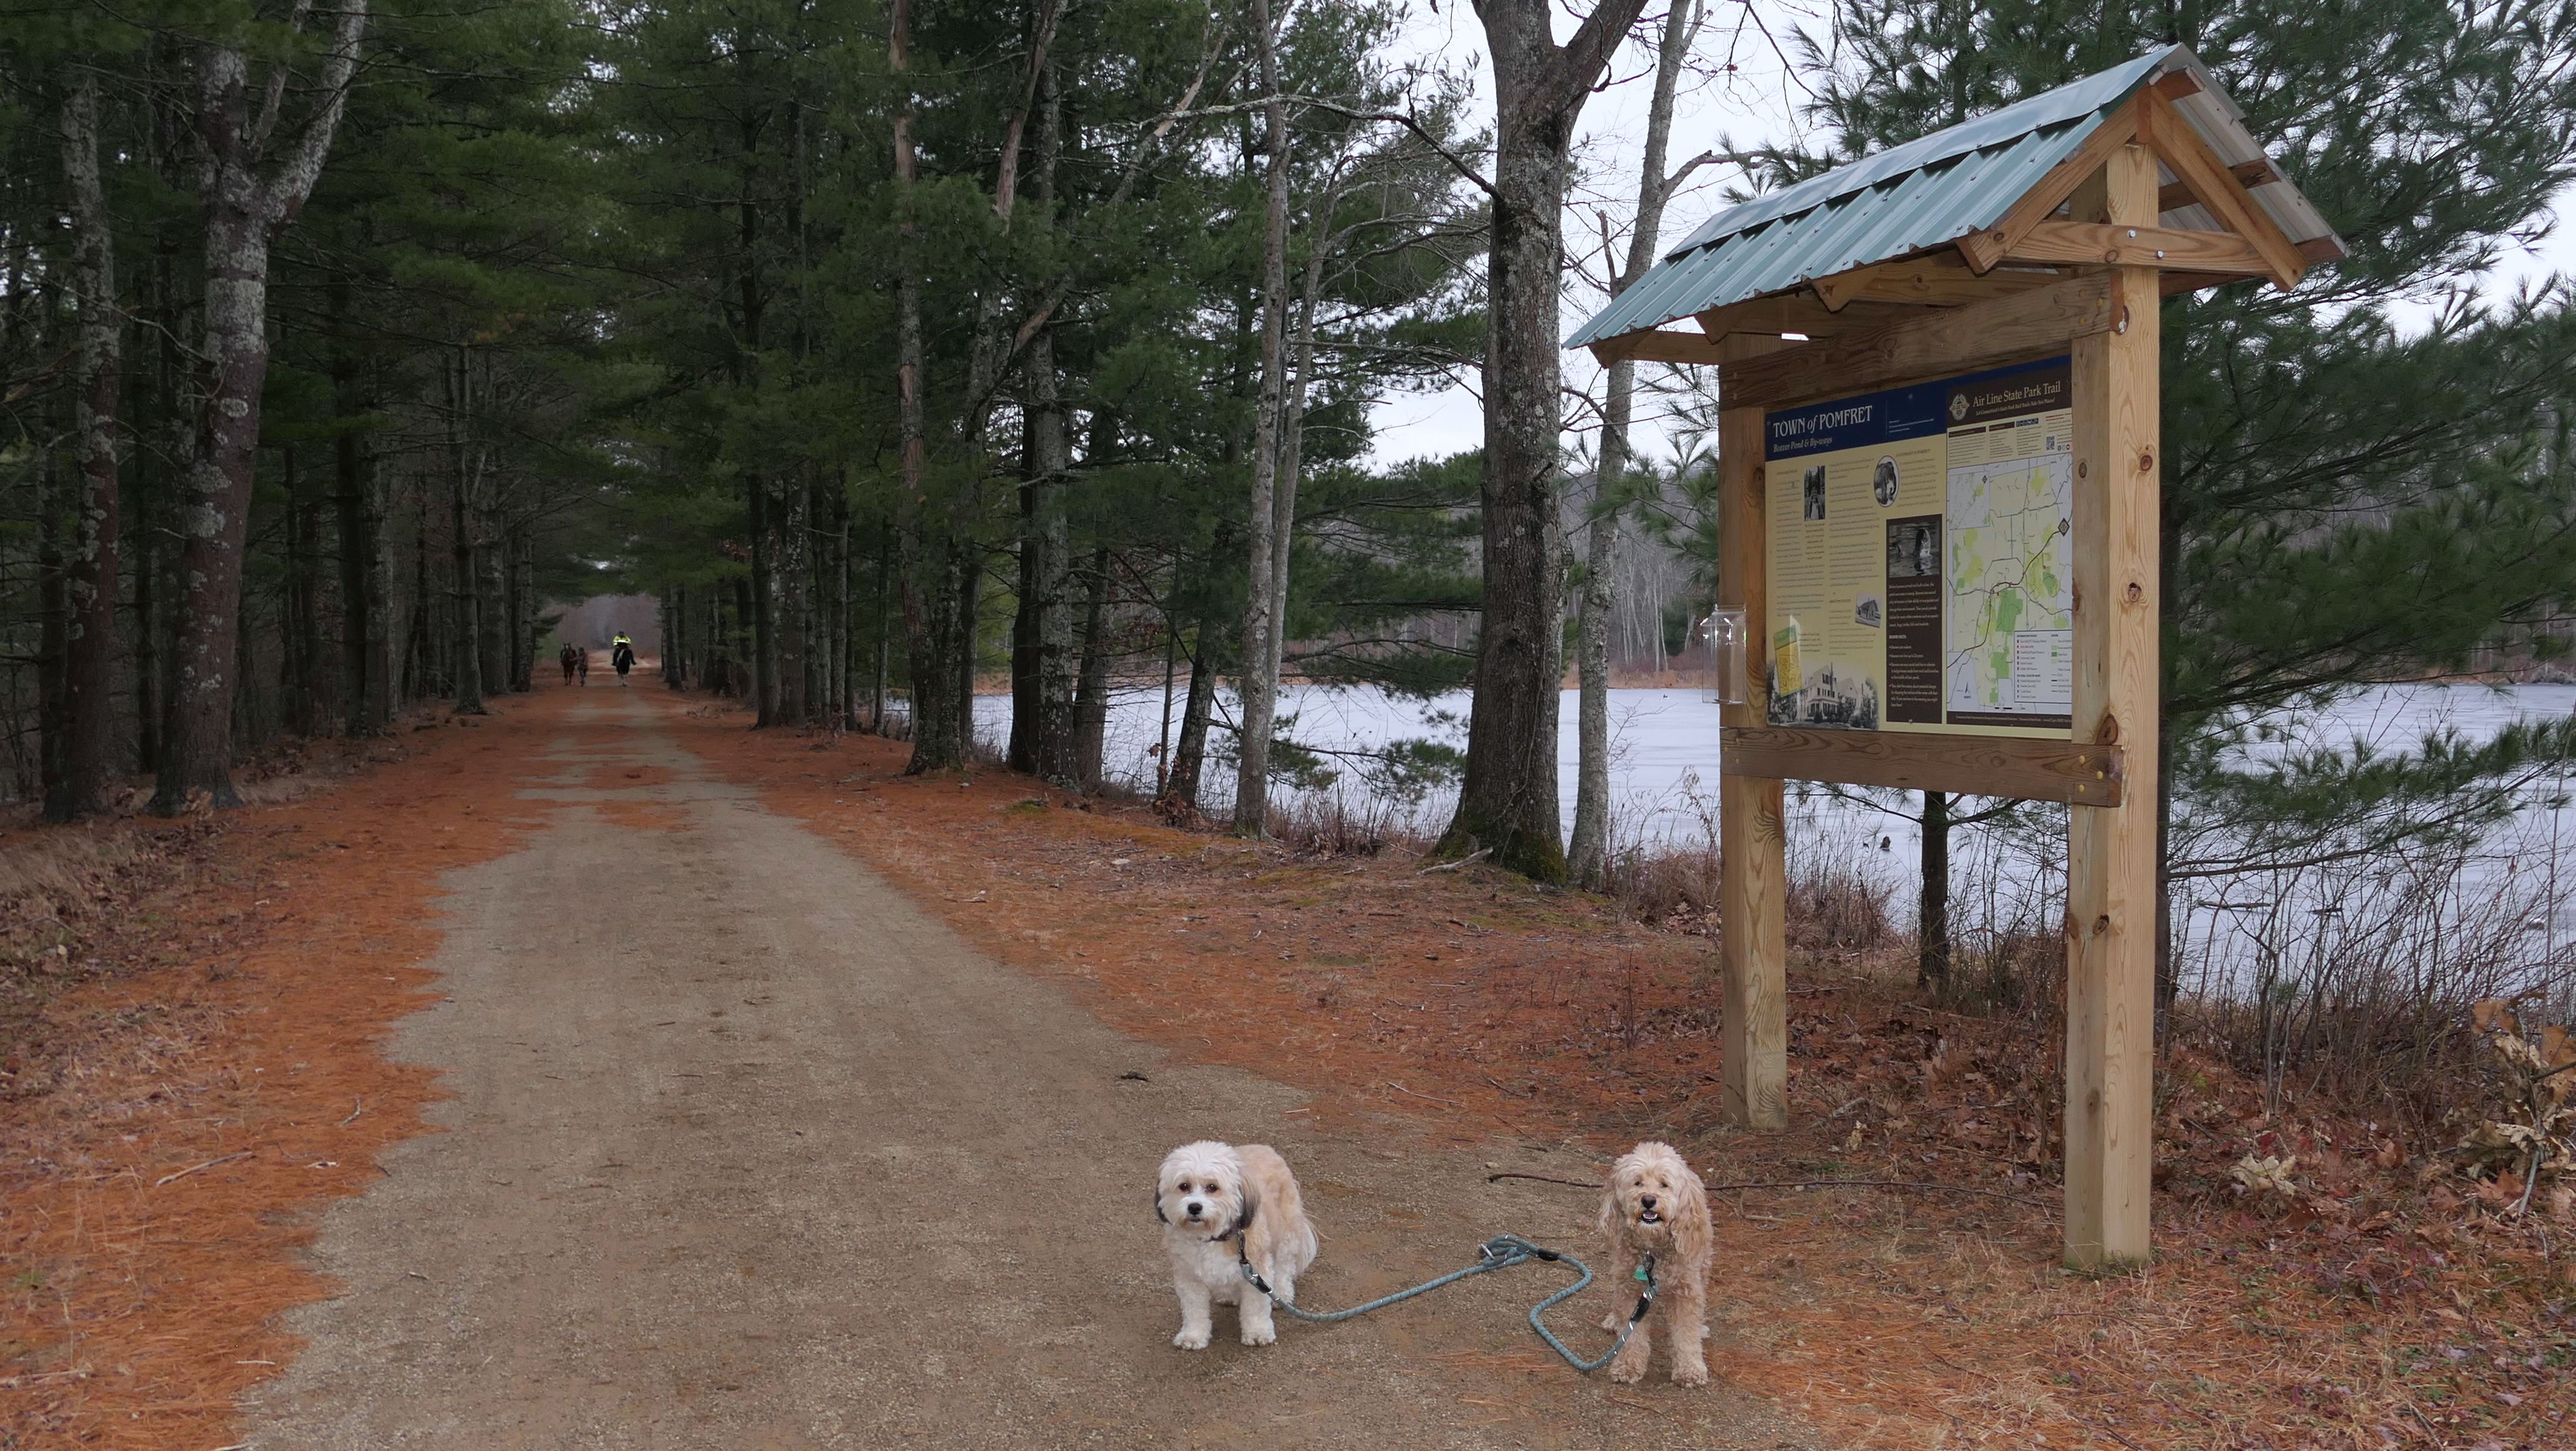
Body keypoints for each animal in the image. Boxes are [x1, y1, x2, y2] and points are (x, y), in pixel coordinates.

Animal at [1154, 1140, 1318, 1350]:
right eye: (1184, 1186)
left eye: (1212, 1187)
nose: (1194, 1207)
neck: (1212, 1238)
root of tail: (1265, 1148)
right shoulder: (1189, 1278)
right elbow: (1194, 1311)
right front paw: (1193, 1336)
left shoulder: (1257, 1273)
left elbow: (1256, 1307)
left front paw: (1257, 1333)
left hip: (1285, 1235)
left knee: (1284, 1266)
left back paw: (1282, 1293)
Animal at [1596, 1140, 1713, 1385]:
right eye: (1638, 1182)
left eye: (1664, 1184)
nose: (1648, 1200)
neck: (1652, 1249)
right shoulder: (1630, 1289)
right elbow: (1632, 1335)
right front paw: (1628, 1365)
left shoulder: (1686, 1292)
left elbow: (1687, 1333)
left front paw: (1690, 1369)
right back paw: (1613, 1321)